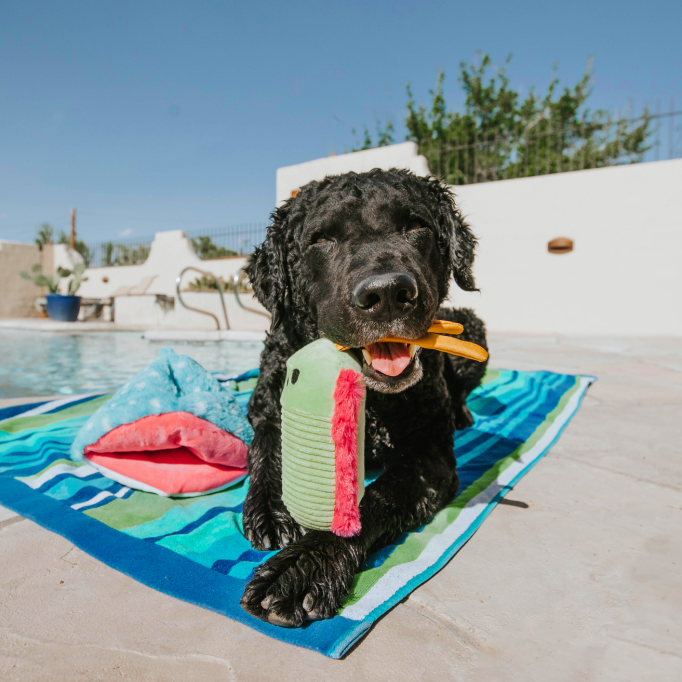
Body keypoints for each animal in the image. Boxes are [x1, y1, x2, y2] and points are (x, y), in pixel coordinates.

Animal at [238, 167, 484, 624]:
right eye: (320, 238)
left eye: (416, 226)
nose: (387, 293)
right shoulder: (267, 408)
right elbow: (267, 449)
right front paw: (272, 508)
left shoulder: (429, 455)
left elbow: (376, 499)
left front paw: (303, 567)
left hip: (471, 328)